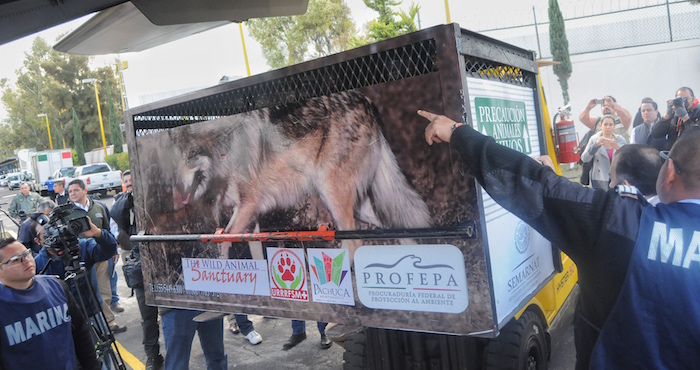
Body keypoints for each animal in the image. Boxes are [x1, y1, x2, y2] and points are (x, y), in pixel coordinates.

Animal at [170, 90, 432, 260]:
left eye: (191, 157)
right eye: (176, 161)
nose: (178, 191)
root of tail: (367, 101)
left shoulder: (247, 206)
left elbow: (221, 246)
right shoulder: (250, 215)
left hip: (333, 195)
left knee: (354, 242)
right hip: (355, 204)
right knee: (395, 224)